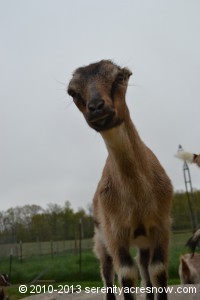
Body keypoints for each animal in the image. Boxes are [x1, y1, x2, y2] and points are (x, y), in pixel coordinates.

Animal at [68, 59, 173, 298]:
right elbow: (126, 275)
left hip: (142, 241)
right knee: (107, 272)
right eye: (72, 92)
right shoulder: (115, 232)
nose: (96, 107)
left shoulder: (161, 225)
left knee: (144, 268)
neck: (138, 198)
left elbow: (158, 271)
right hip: (101, 241)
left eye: (120, 77)